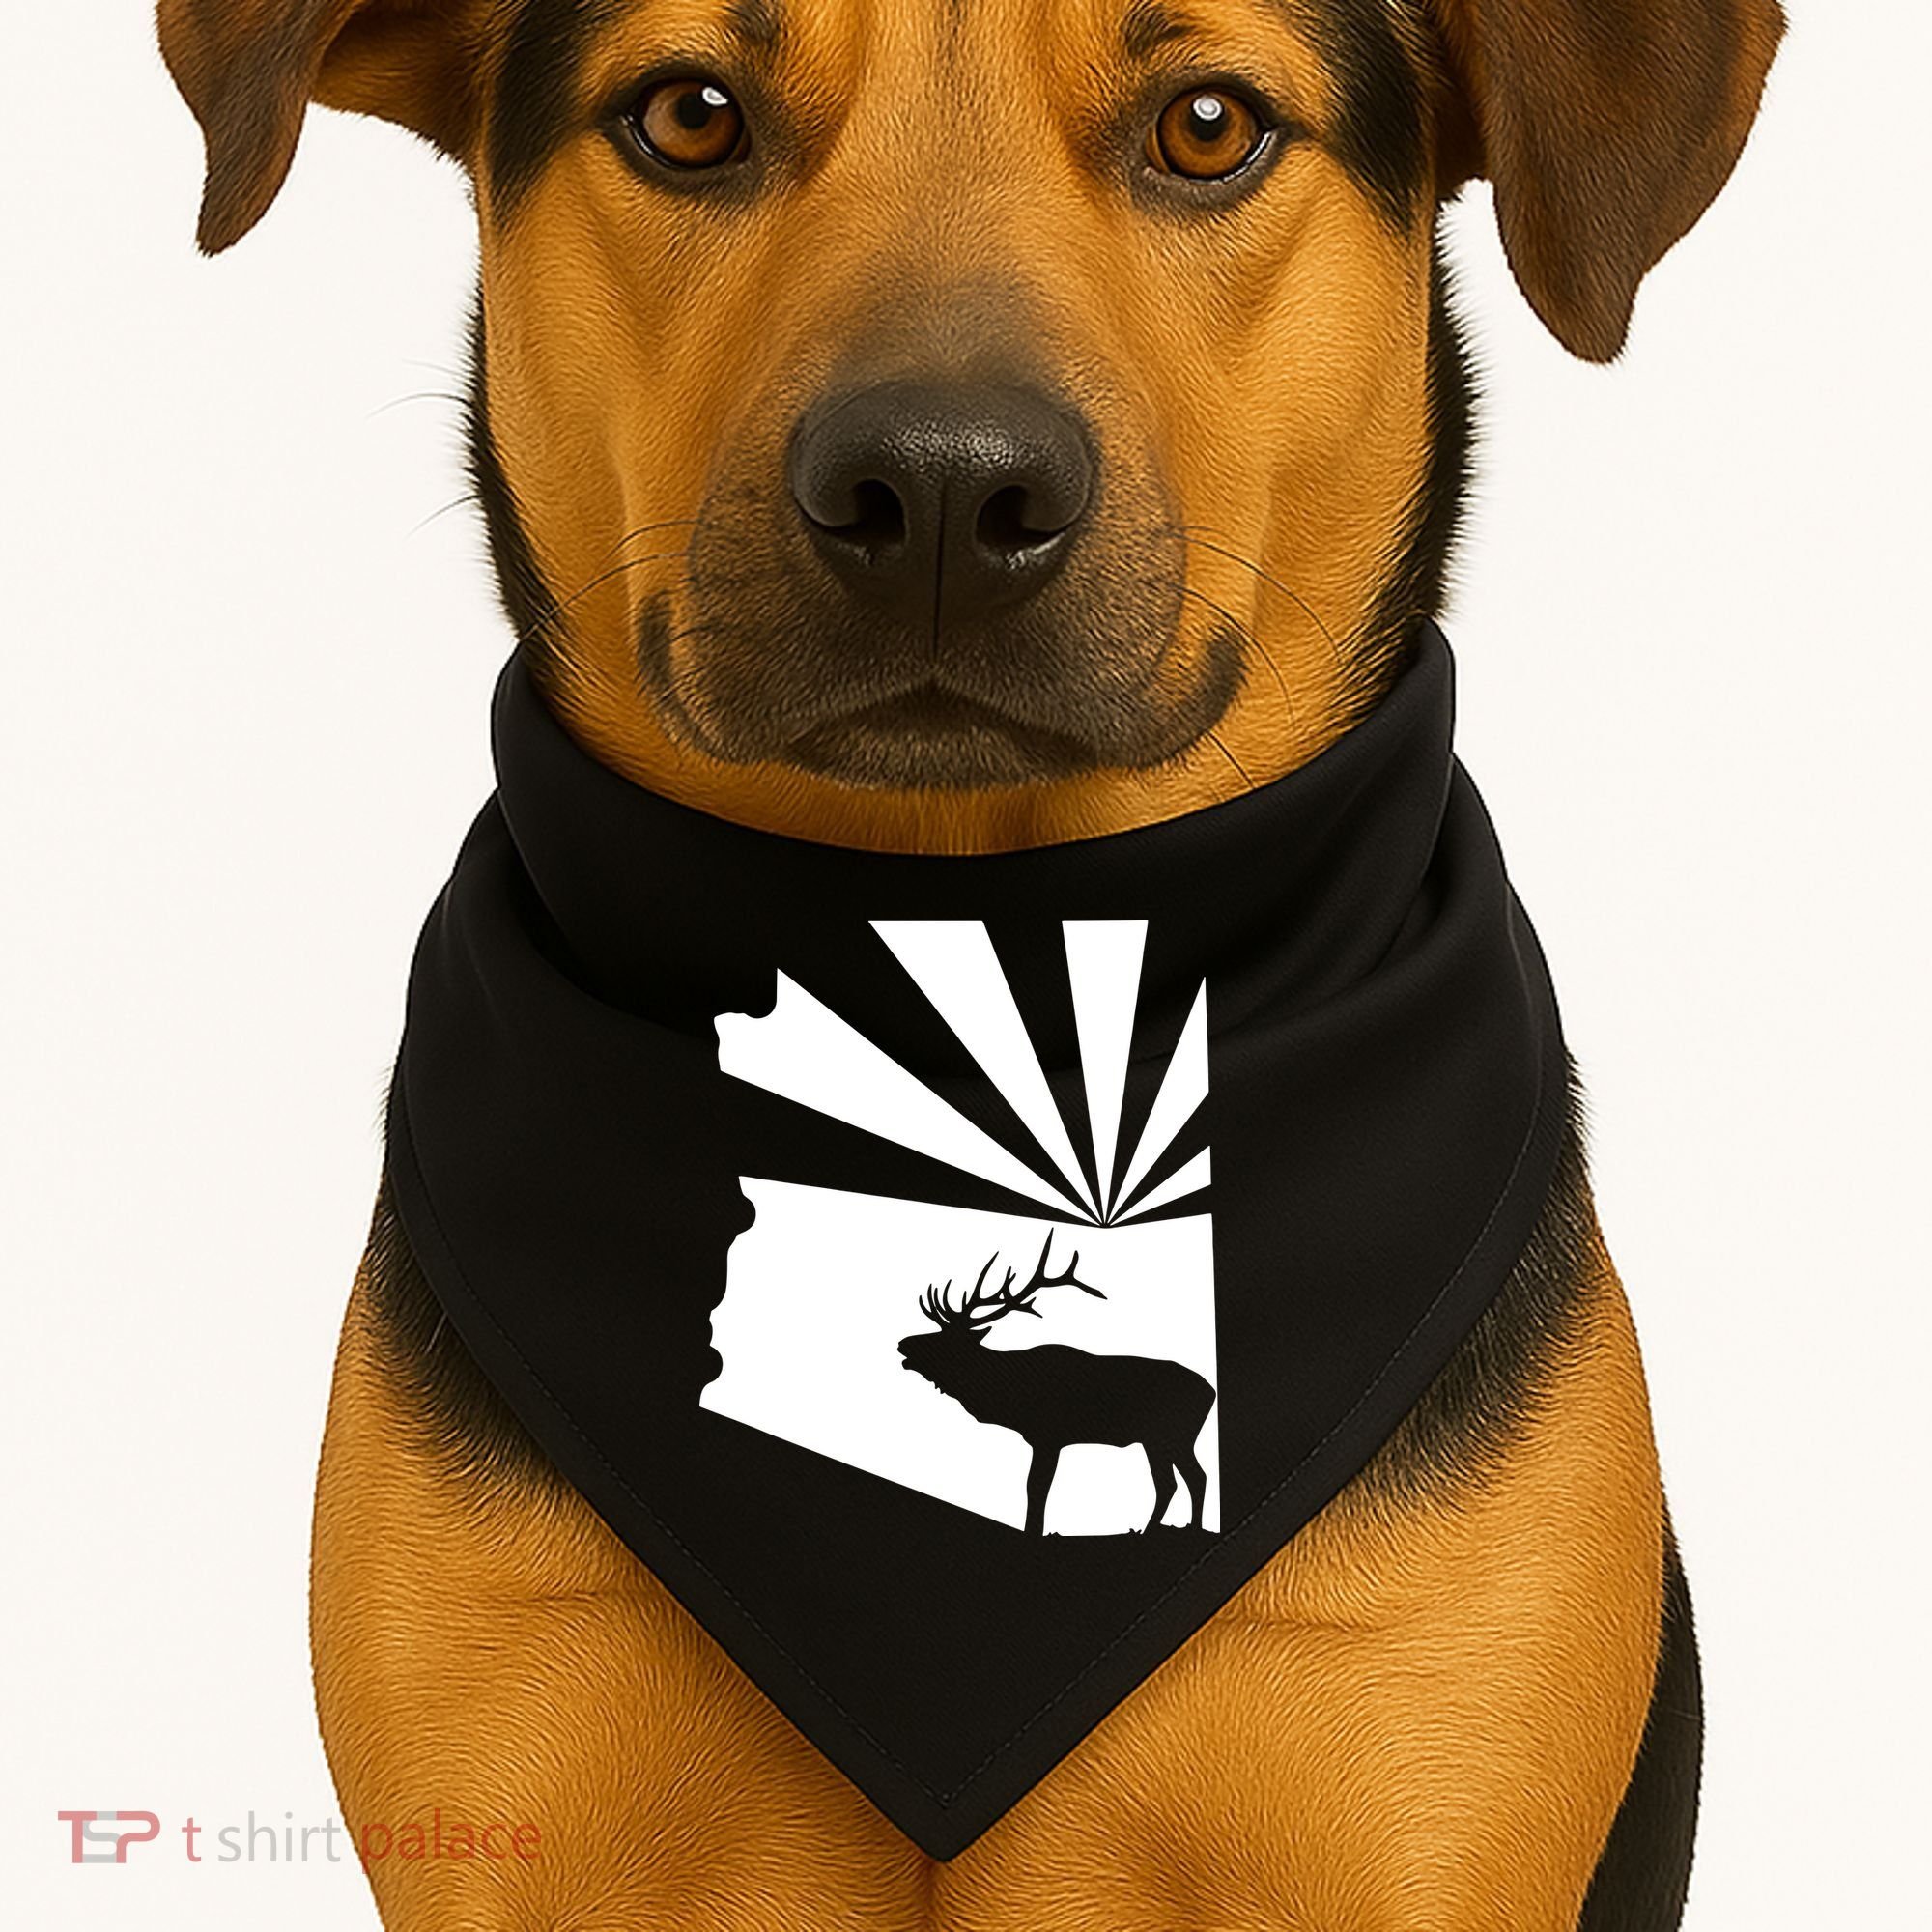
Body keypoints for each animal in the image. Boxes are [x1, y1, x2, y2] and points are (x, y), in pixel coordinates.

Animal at [897, 1232, 1216, 1537]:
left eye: (946, 1339)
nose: (902, 1343)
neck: (1008, 1395)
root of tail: (1211, 1392)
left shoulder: (1048, 1436)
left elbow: (1036, 1488)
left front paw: (1034, 1531)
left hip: (1169, 1435)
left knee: (1181, 1480)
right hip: (1164, 1439)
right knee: (1184, 1479)